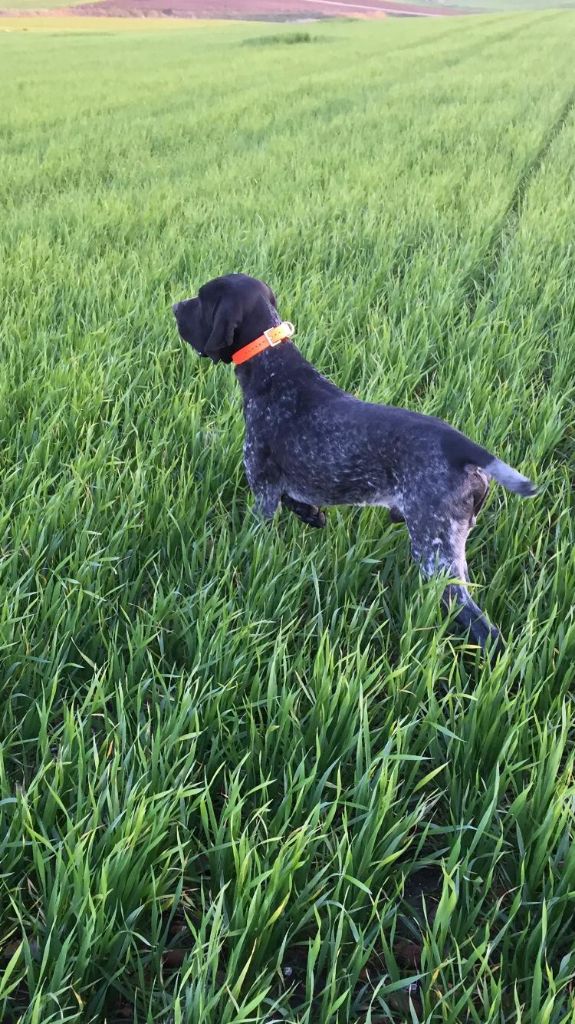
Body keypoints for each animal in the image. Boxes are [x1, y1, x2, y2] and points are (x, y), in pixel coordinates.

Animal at [170, 272, 536, 651]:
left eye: (202, 299)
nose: (176, 307)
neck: (273, 366)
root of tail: (461, 446)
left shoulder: (263, 490)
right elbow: (299, 499)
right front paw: (312, 515)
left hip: (435, 553)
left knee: (481, 626)